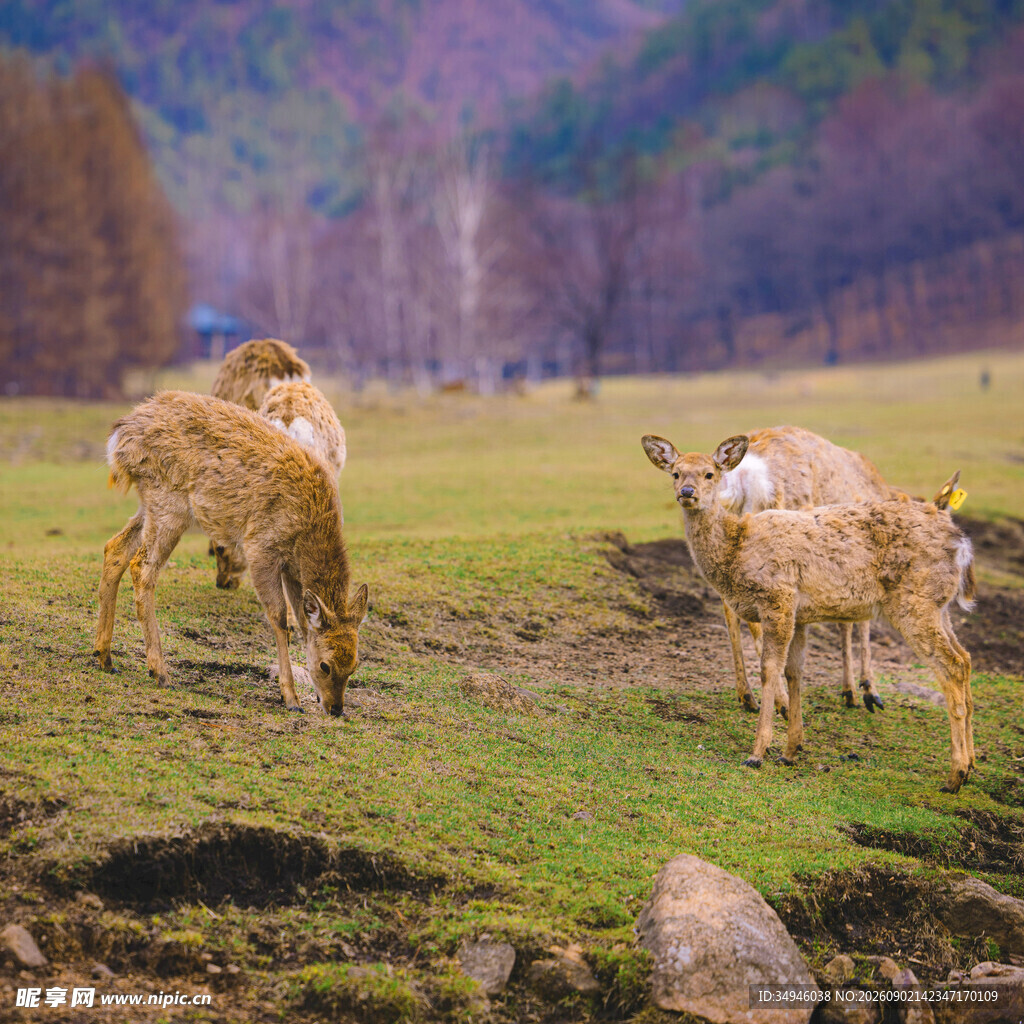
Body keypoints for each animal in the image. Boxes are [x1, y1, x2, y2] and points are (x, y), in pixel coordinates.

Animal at [711, 426, 894, 717]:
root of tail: (739, 480)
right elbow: (860, 621)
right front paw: (867, 692)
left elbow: (846, 620)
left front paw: (850, 691)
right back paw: (782, 702)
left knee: (729, 608)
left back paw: (747, 696)